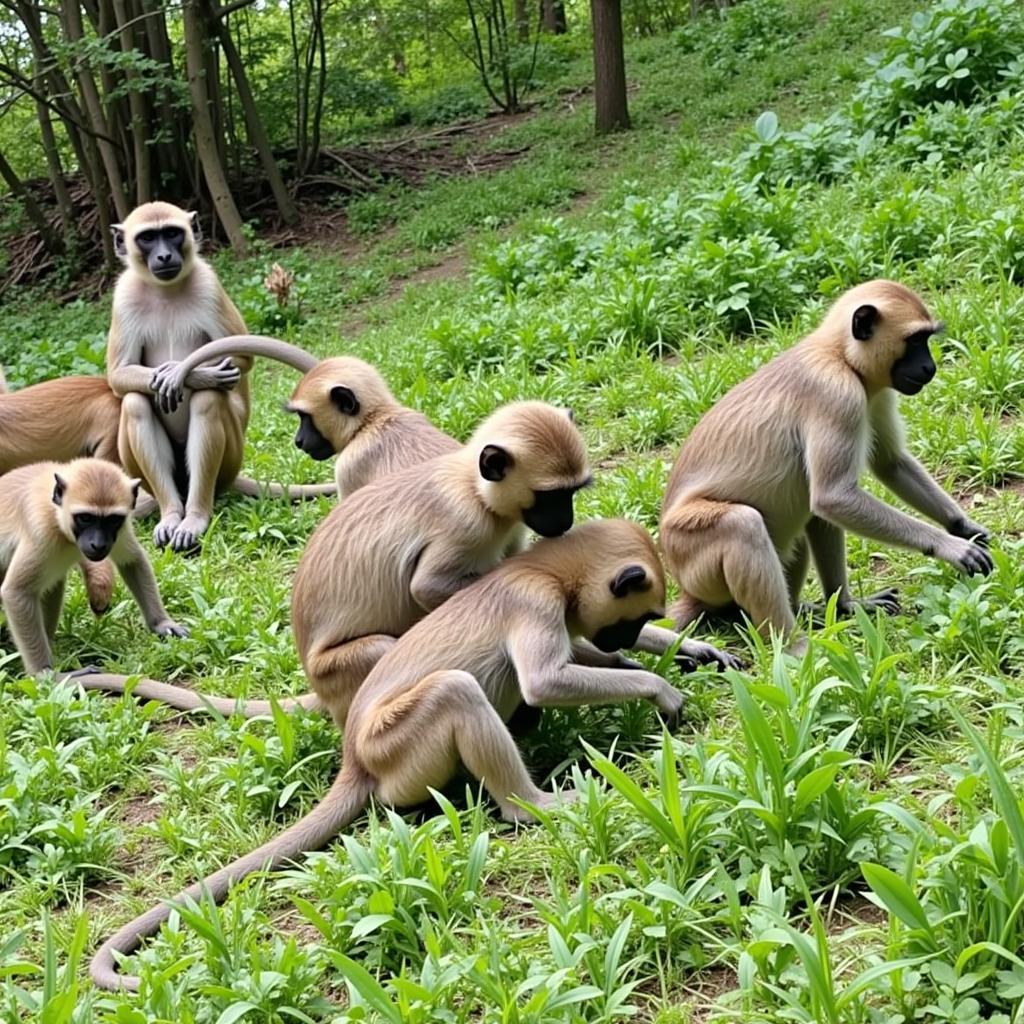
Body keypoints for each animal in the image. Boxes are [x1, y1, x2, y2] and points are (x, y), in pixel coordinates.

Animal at [0, 460, 188, 675]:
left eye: (113, 520)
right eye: (85, 518)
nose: (98, 544)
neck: (57, 515)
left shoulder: (121, 529)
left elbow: (133, 561)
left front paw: (161, 623)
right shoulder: (41, 529)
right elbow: (16, 591)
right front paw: (46, 675)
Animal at [90, 520, 729, 991]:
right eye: (636, 614)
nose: (628, 636)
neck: (542, 569)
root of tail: (356, 756)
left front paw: (689, 652)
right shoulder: (536, 601)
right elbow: (545, 680)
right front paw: (658, 688)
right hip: (397, 745)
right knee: (458, 692)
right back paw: (531, 803)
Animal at [655, 276, 991, 643]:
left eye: (926, 340)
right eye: (915, 341)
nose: (930, 367)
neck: (838, 355)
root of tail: (688, 588)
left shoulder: (873, 392)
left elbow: (889, 463)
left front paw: (962, 527)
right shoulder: (838, 394)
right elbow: (834, 496)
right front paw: (950, 546)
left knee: (805, 513)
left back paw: (833, 606)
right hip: (691, 553)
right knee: (743, 524)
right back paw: (791, 645)